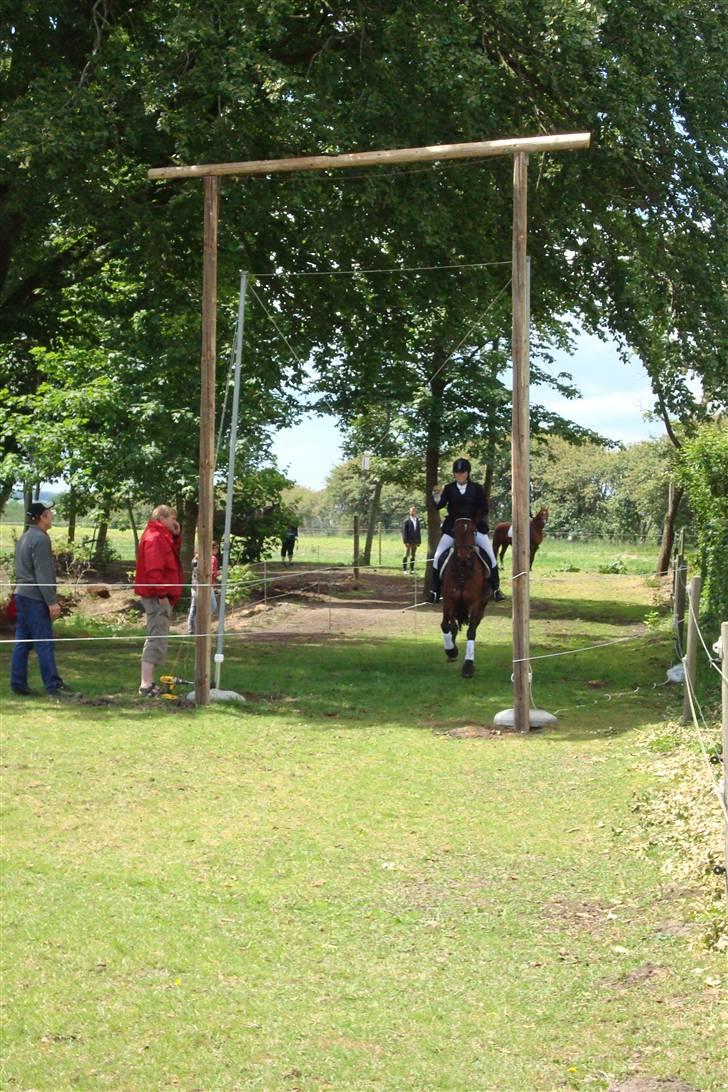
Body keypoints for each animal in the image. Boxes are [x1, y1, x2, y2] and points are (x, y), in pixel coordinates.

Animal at [438, 517, 495, 672]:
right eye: (454, 531)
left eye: (474, 531)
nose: (464, 558)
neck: (463, 571)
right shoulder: (449, 600)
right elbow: (445, 625)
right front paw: (451, 650)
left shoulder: (475, 604)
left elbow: (471, 632)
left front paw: (468, 665)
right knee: (453, 626)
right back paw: (451, 650)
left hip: (482, 605)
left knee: (473, 625)